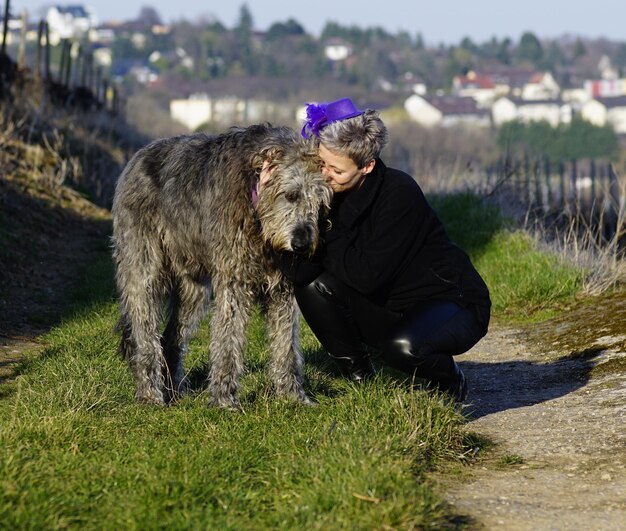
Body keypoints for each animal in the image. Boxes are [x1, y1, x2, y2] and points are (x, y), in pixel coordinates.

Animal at [111, 125, 332, 412]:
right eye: (291, 195)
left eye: (321, 206)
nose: (302, 244)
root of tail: (137, 156)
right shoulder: (234, 280)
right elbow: (228, 339)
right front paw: (224, 400)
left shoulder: (282, 290)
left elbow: (286, 345)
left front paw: (293, 396)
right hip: (142, 266)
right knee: (145, 334)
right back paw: (150, 394)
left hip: (193, 289)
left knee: (172, 338)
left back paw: (174, 392)